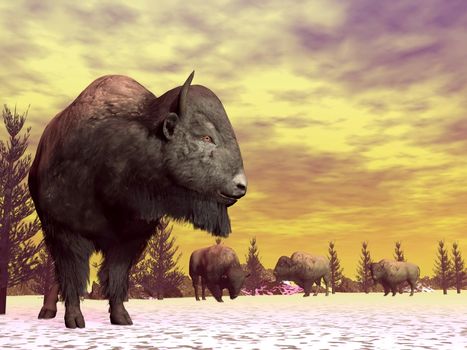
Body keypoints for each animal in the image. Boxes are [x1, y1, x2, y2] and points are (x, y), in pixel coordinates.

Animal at [28, 72, 249, 328]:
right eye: (206, 136)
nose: (241, 186)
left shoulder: (128, 240)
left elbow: (116, 277)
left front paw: (121, 318)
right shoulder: (68, 233)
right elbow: (74, 277)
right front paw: (74, 320)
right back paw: (47, 311)